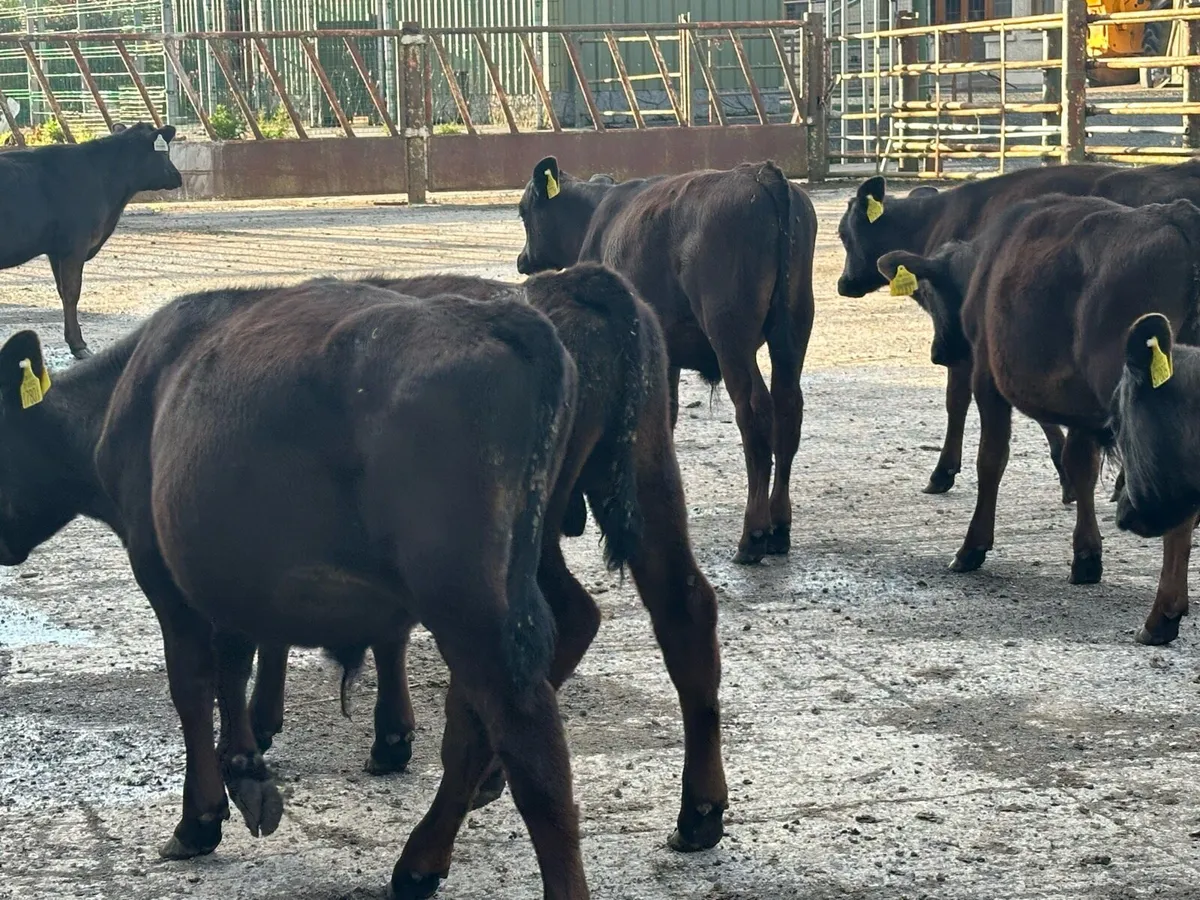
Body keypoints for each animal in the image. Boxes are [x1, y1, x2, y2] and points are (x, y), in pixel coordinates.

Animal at [0, 121, 183, 358]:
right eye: (164, 152)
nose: (178, 176)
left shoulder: (55, 251)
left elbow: (62, 290)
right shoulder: (75, 246)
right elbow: (72, 292)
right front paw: (79, 345)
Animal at [0, 280, 591, 898]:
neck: (127, 393)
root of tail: (504, 319)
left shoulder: (162, 571)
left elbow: (192, 686)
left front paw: (200, 818)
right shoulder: (228, 572)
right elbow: (235, 665)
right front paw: (244, 769)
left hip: (467, 603)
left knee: (528, 745)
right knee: (481, 720)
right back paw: (419, 862)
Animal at [244, 265, 729, 859]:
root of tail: (576, 286)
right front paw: (389, 737)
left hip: (521, 544)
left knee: (558, 626)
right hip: (650, 474)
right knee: (682, 610)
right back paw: (699, 814)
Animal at [516, 156, 817, 564]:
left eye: (522, 212)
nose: (522, 260)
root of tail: (761, 172)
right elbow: (667, 414)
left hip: (730, 334)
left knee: (755, 412)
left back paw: (753, 534)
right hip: (793, 328)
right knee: (789, 408)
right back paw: (780, 528)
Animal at [894, 193, 1200, 646]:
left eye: (931, 297)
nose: (938, 352)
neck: (985, 264)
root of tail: (1179, 214)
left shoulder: (987, 376)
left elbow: (992, 460)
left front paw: (973, 546)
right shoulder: (1082, 408)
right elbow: (1081, 467)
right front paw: (1087, 555)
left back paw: (1162, 614)